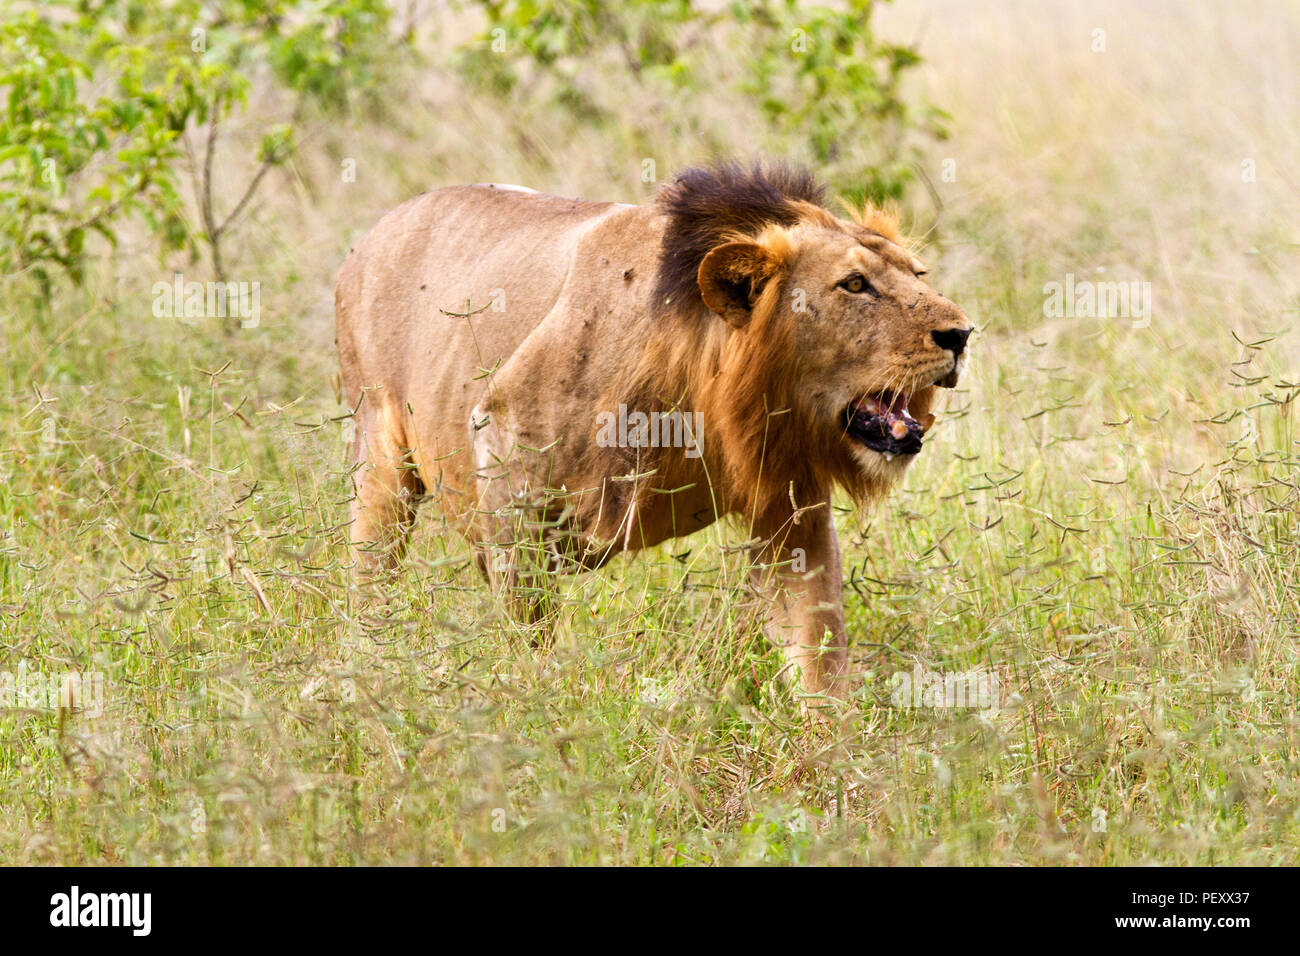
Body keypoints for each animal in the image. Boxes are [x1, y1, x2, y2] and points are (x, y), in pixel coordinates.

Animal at [335, 164, 967, 697]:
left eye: (918, 275)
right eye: (855, 285)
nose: (962, 334)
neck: (708, 398)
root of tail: (375, 232)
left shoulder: (791, 501)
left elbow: (818, 643)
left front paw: (834, 753)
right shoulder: (504, 449)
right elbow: (526, 624)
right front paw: (533, 706)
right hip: (382, 462)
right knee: (370, 579)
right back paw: (367, 666)